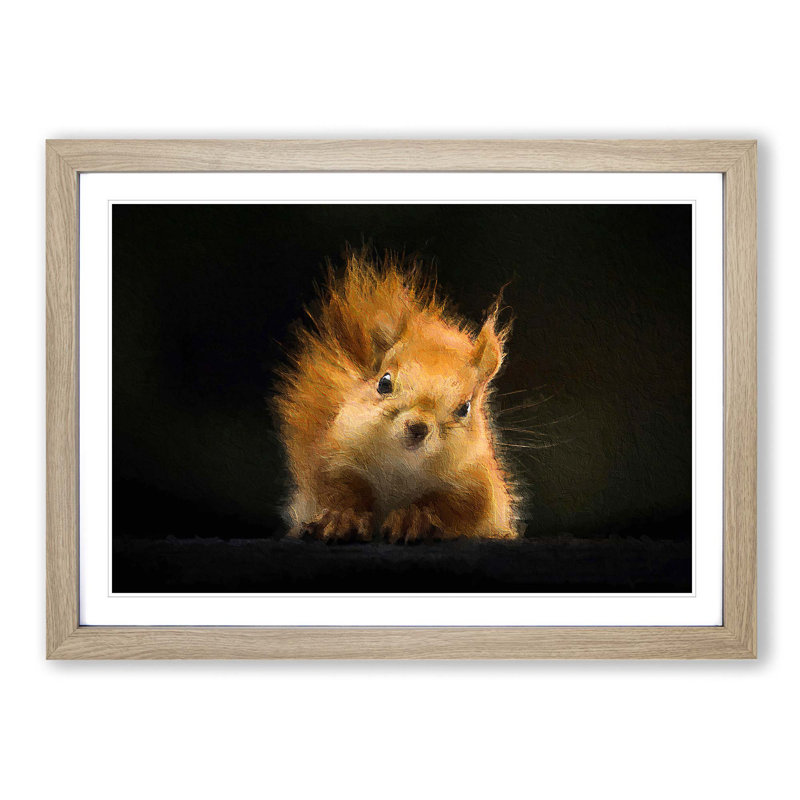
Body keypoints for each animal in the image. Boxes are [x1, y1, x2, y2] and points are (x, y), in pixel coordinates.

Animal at [275, 249, 518, 543]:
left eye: (465, 408)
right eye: (384, 383)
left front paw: (413, 519)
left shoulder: (477, 484)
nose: (418, 427)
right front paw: (341, 517)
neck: (401, 468)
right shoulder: (334, 457)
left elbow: (455, 507)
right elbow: (338, 490)